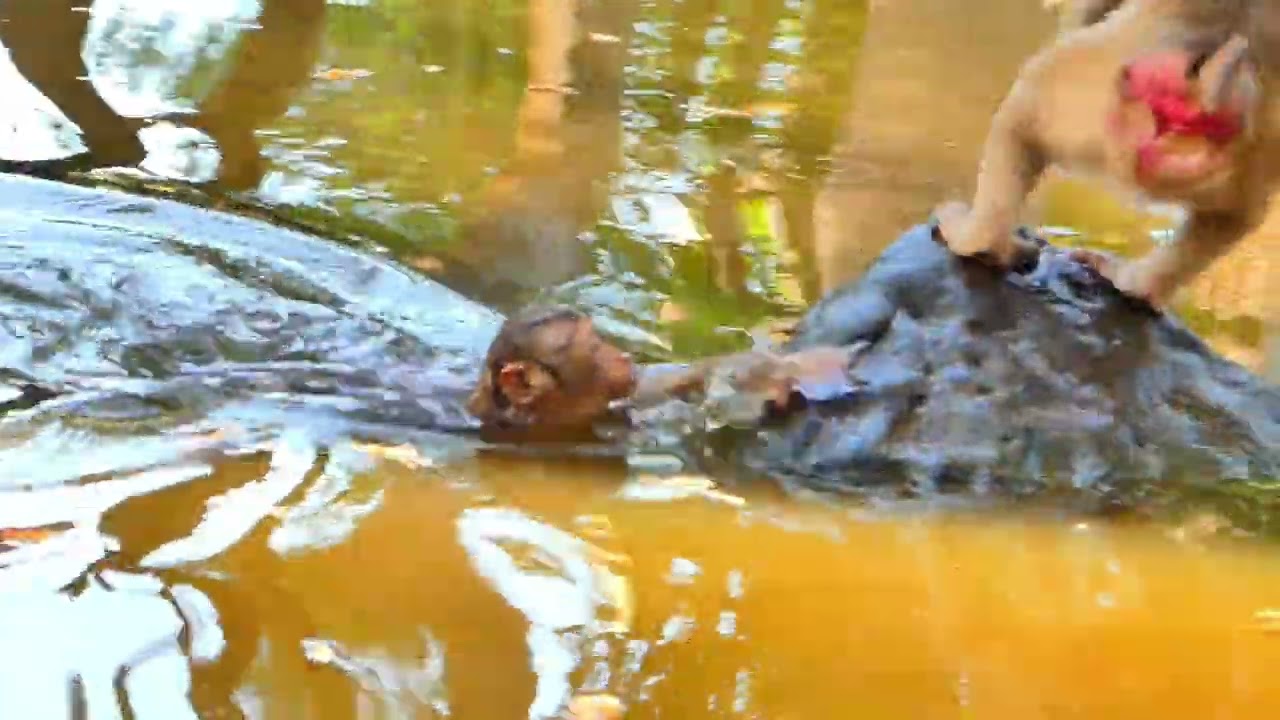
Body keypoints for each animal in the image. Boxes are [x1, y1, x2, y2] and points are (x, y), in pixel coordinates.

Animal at [933, 0, 1279, 308]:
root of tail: (1203, 95)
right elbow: (1230, 218)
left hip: (1093, 93)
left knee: (1023, 110)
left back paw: (978, 241)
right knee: (1234, 215)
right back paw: (1133, 283)